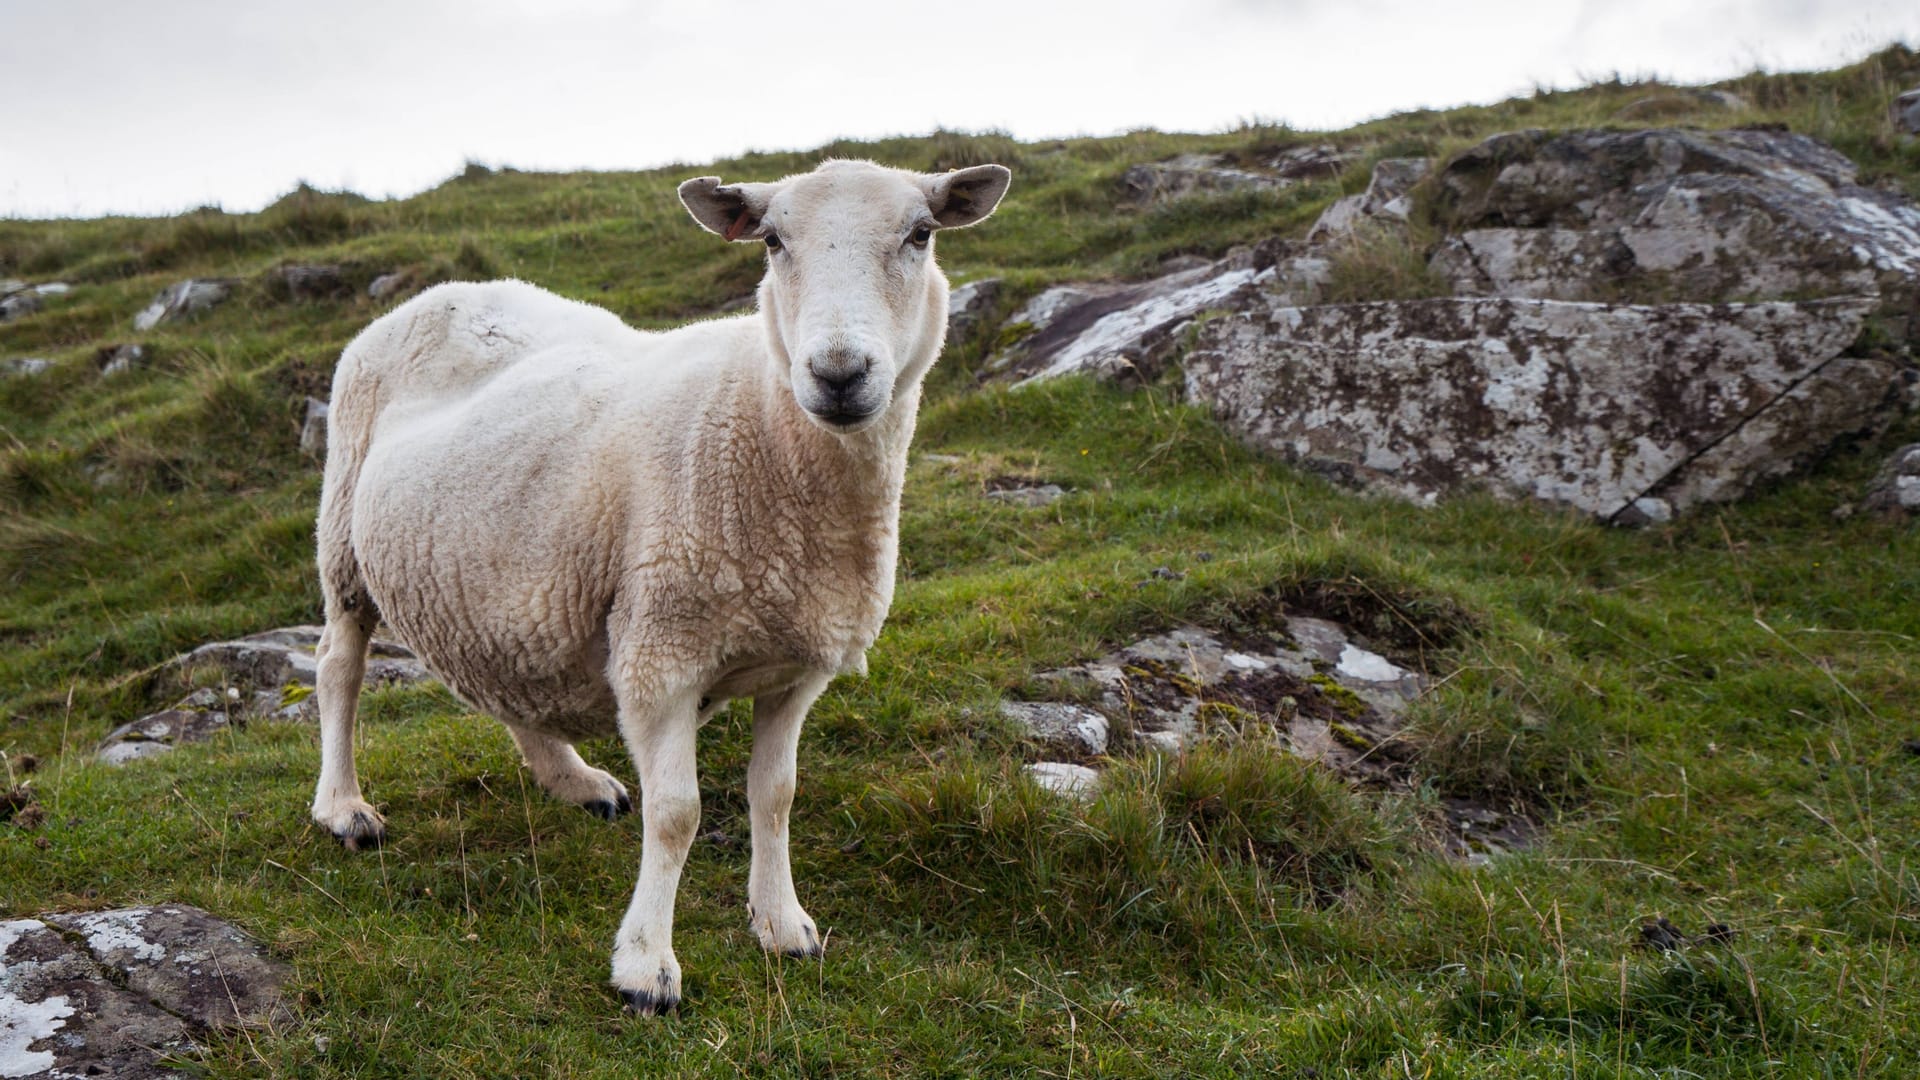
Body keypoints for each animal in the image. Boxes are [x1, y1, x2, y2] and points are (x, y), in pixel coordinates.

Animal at [307, 157, 1013, 1006]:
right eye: (772, 241)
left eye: (921, 234)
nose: (839, 374)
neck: (767, 425)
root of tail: (444, 292)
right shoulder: (658, 654)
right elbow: (677, 813)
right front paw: (646, 965)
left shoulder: (797, 667)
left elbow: (775, 795)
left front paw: (783, 924)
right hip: (344, 536)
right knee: (339, 666)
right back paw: (344, 808)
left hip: (494, 578)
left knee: (502, 682)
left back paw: (573, 780)